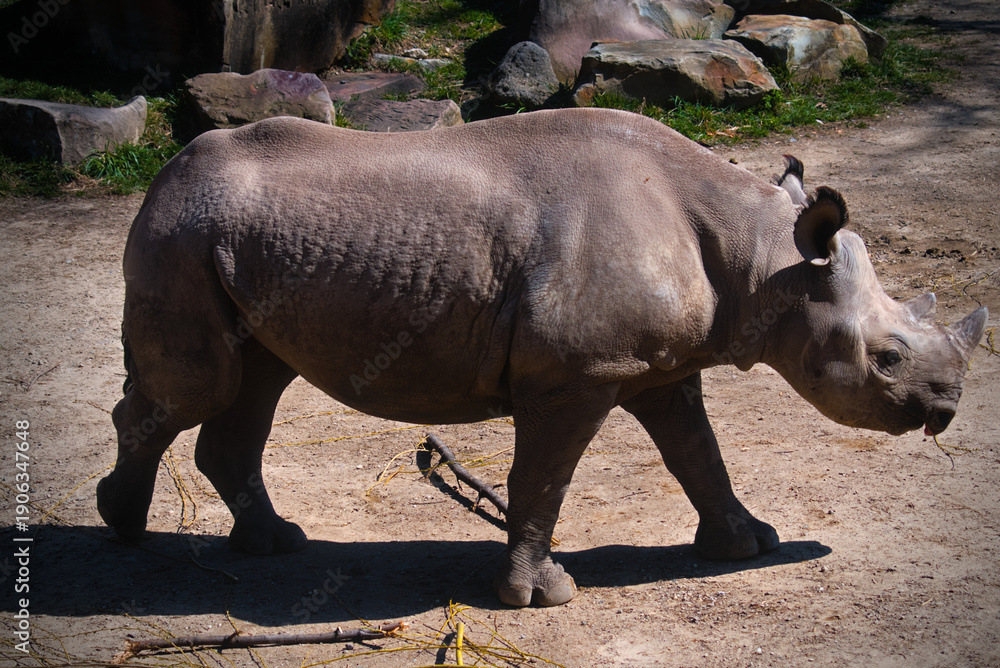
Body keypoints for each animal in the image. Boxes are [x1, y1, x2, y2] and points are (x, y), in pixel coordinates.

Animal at [97, 108, 987, 607]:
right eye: (887, 358)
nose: (946, 410)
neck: (762, 254)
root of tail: (165, 177)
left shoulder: (659, 368)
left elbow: (698, 453)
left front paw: (750, 544)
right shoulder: (575, 373)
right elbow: (545, 478)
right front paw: (539, 598)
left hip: (240, 243)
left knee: (255, 381)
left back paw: (276, 543)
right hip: (182, 234)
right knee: (196, 388)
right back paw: (124, 526)